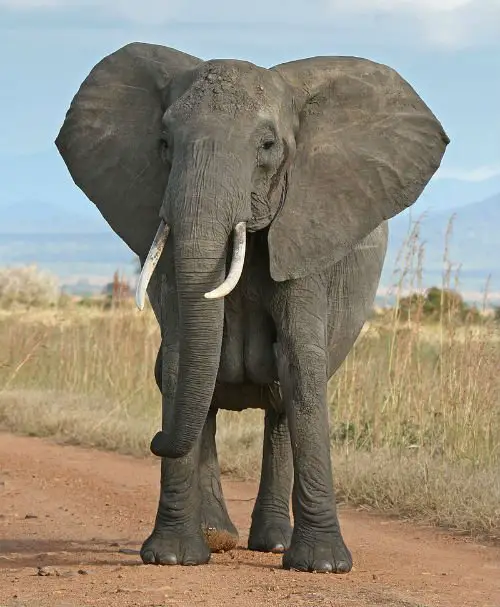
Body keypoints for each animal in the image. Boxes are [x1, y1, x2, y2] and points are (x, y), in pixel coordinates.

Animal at [54, 42, 450, 576]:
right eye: (164, 142)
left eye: (267, 145)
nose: (154, 439)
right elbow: (180, 360)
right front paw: (173, 558)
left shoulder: (307, 231)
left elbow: (301, 364)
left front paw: (324, 566)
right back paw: (217, 537)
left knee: (282, 400)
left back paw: (274, 545)